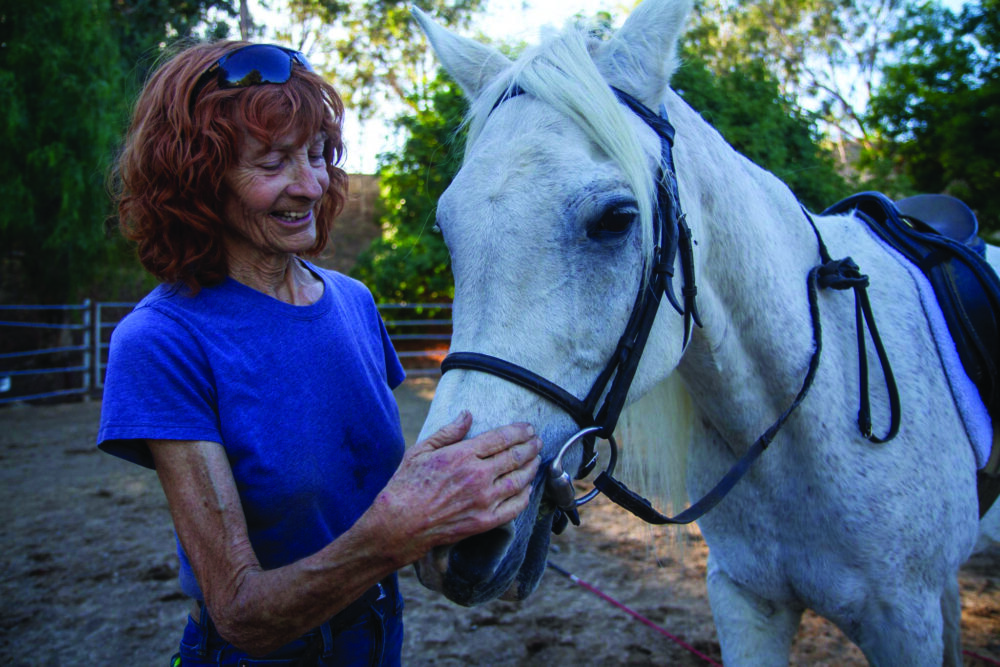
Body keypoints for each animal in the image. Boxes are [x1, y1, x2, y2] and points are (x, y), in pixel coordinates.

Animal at [410, 0, 999, 664]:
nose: (453, 531)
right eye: (447, 228)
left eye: (617, 219)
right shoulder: (746, 600)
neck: (803, 417)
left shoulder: (903, 620)